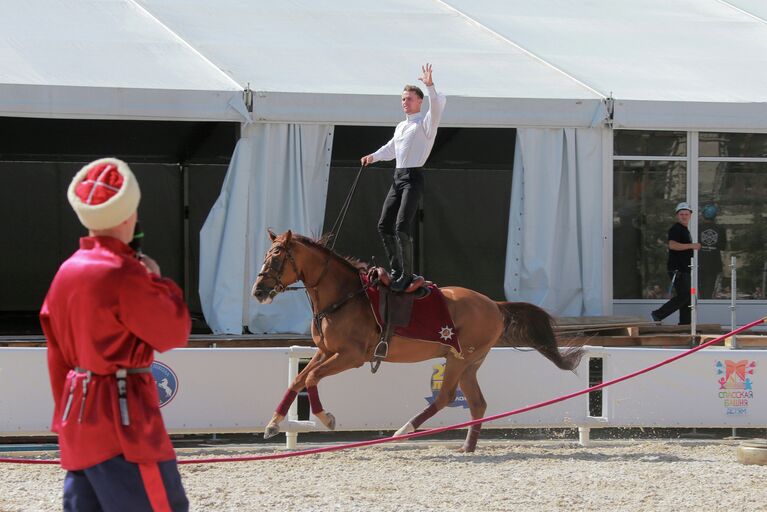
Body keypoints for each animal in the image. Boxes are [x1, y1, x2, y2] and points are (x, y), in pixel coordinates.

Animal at [252, 230, 584, 450]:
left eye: (277, 258)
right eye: (266, 256)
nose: (258, 290)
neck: (344, 296)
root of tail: (494, 304)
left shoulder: (351, 357)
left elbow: (311, 380)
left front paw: (326, 418)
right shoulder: (325, 351)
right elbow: (298, 380)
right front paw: (273, 422)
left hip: (460, 359)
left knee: (445, 397)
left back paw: (404, 430)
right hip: (469, 363)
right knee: (477, 403)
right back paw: (467, 447)